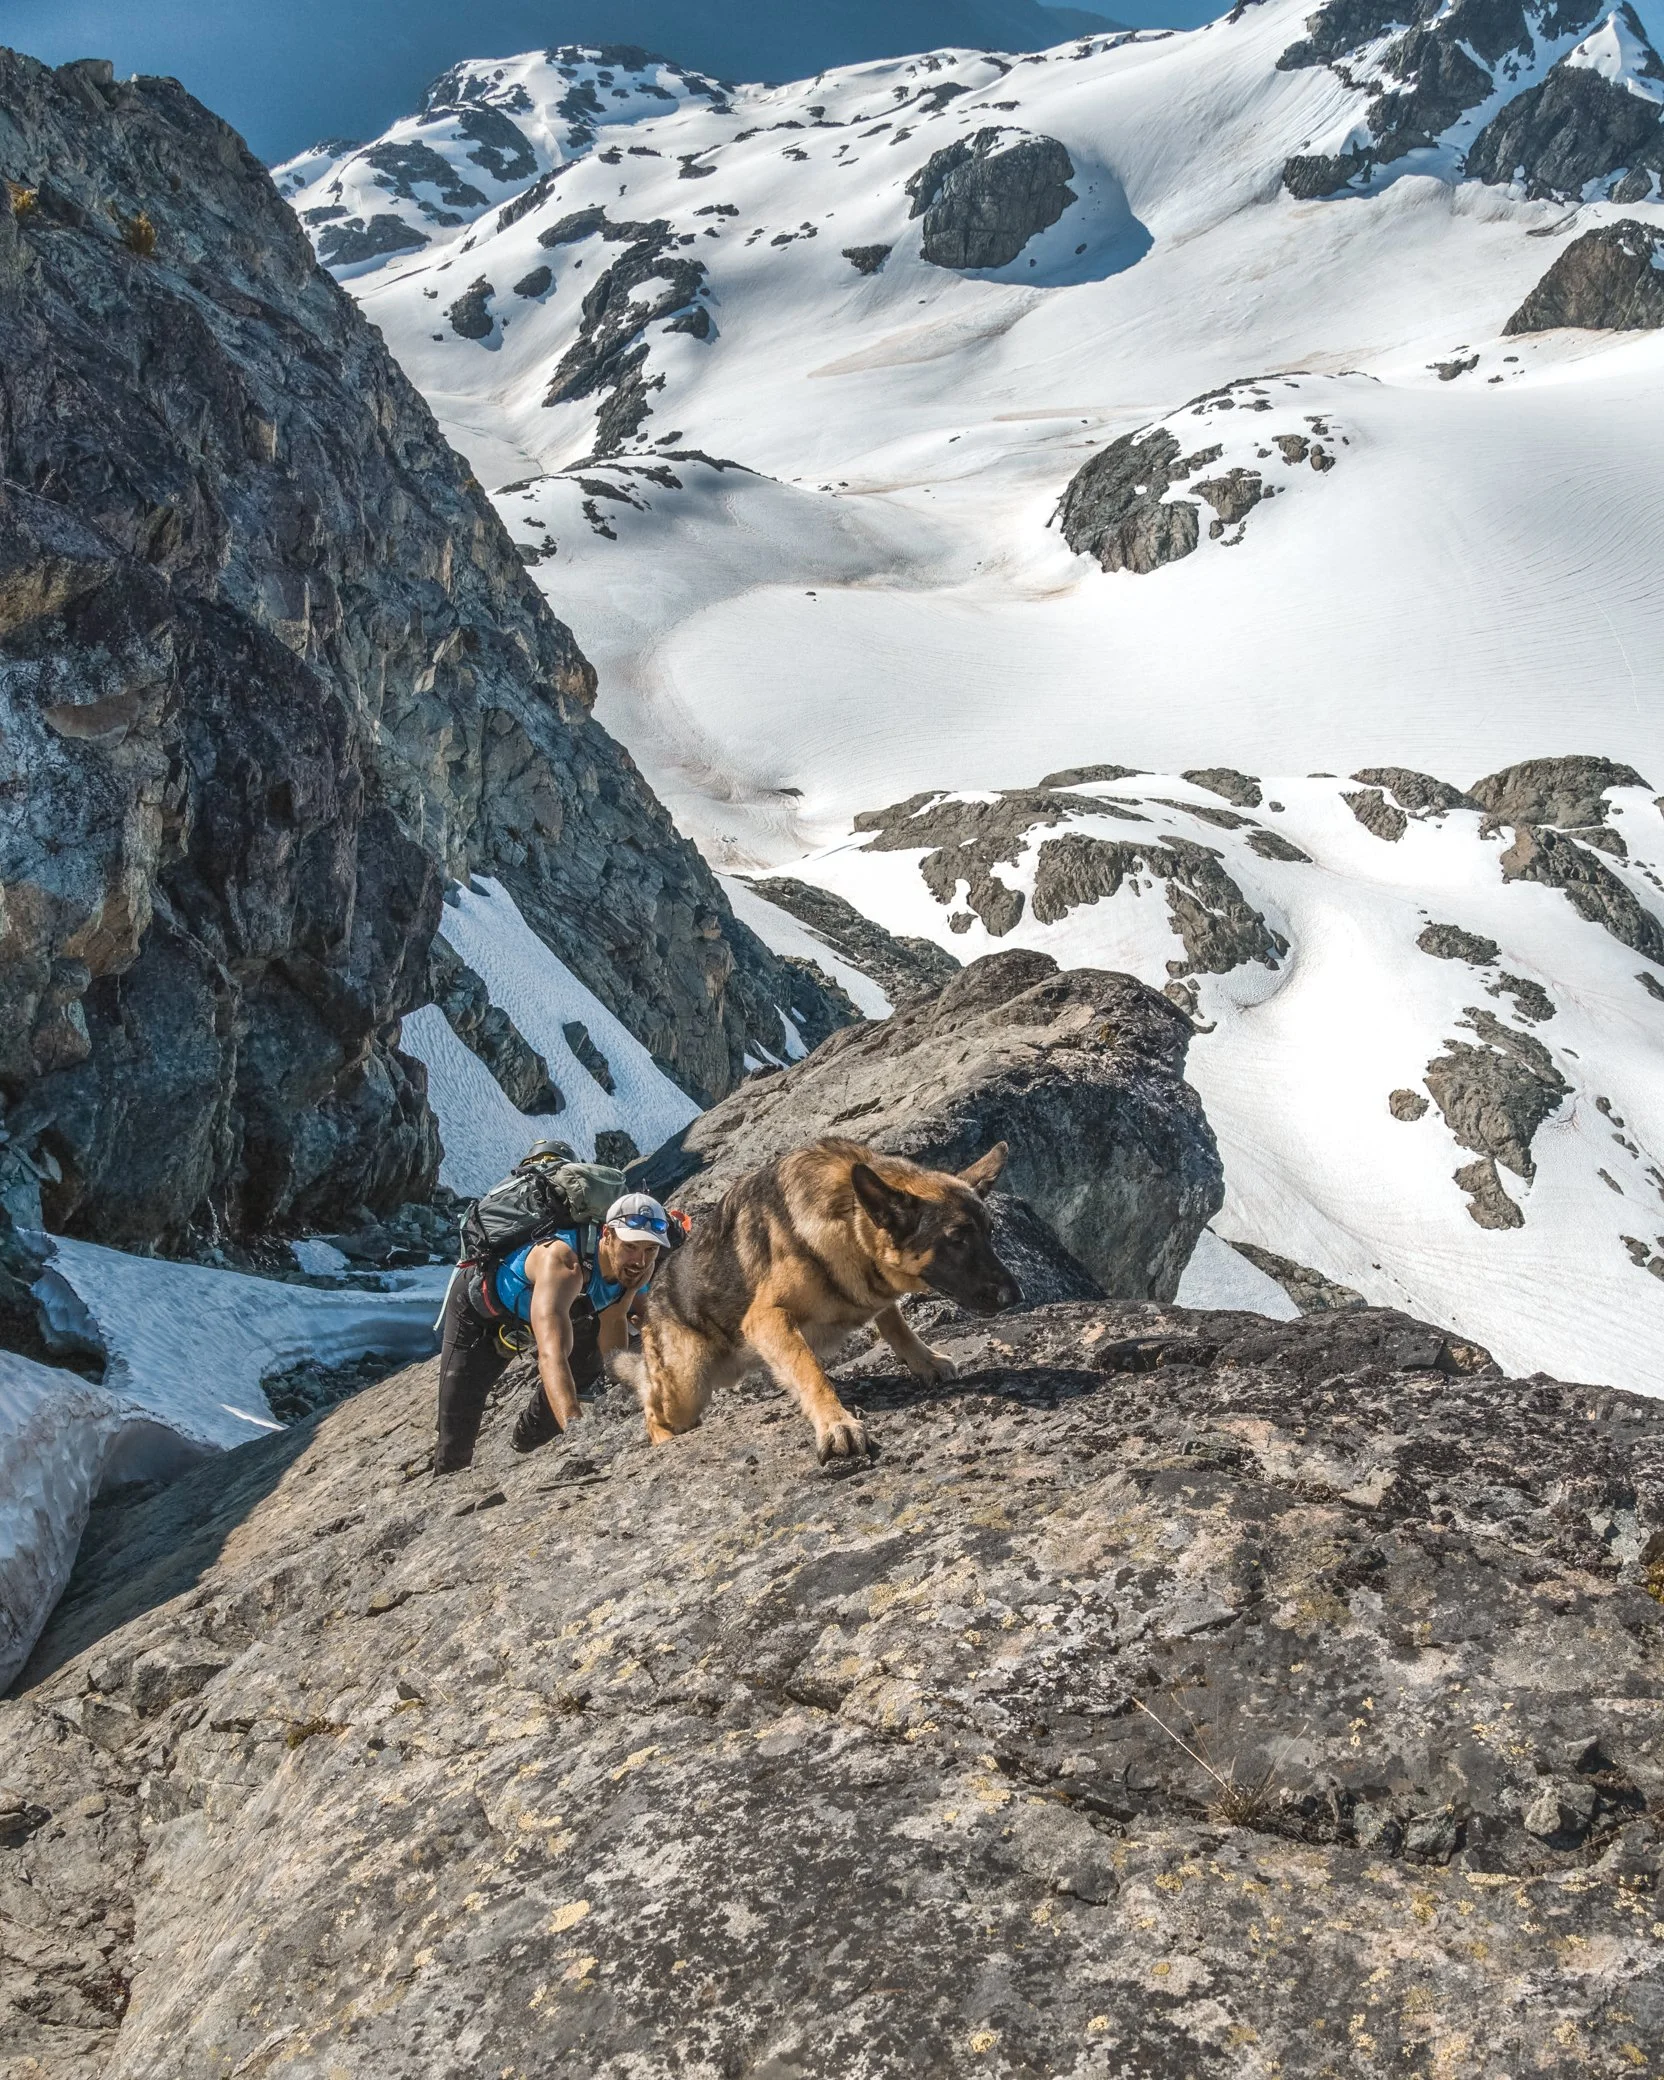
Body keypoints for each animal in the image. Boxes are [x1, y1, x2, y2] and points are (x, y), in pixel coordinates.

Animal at [610, 1136, 1023, 1462]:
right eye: (957, 1239)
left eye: (989, 1232)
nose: (1016, 1296)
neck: (849, 1219)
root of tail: (654, 1293)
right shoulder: (767, 1318)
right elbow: (809, 1369)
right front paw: (835, 1422)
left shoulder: (876, 1296)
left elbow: (895, 1323)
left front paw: (924, 1359)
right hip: (688, 1383)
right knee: (652, 1406)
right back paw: (663, 1438)